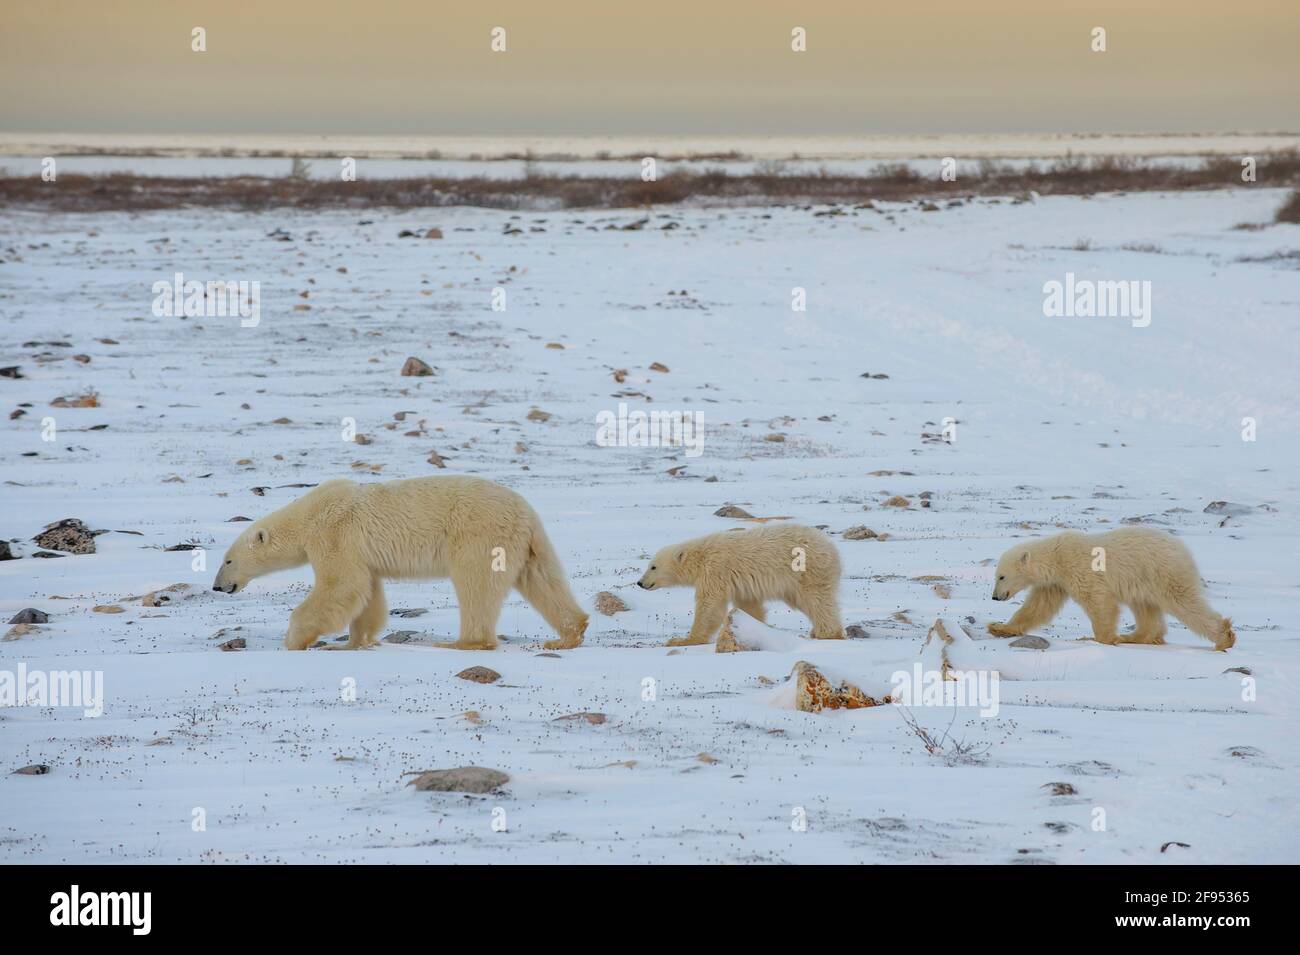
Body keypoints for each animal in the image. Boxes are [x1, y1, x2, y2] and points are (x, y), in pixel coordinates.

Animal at [213, 475, 590, 649]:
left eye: (228, 560)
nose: (218, 586)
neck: (308, 515)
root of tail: (525, 511)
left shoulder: (334, 534)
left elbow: (340, 585)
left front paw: (293, 639)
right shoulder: (360, 552)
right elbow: (367, 592)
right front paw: (357, 641)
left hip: (479, 533)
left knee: (475, 584)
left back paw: (462, 642)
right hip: (526, 543)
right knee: (542, 580)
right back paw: (568, 633)